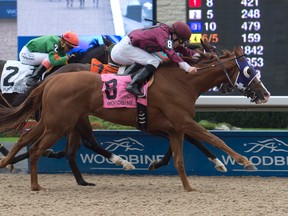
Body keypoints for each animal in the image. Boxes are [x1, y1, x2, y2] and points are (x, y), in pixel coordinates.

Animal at [0, 46, 270, 192]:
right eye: (249, 70)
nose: (265, 94)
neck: (183, 81)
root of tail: (51, 79)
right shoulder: (182, 122)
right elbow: (214, 139)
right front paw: (243, 162)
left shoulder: (173, 127)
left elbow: (179, 159)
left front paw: (188, 186)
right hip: (60, 124)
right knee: (38, 149)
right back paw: (36, 184)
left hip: (53, 122)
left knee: (25, 140)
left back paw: (8, 163)